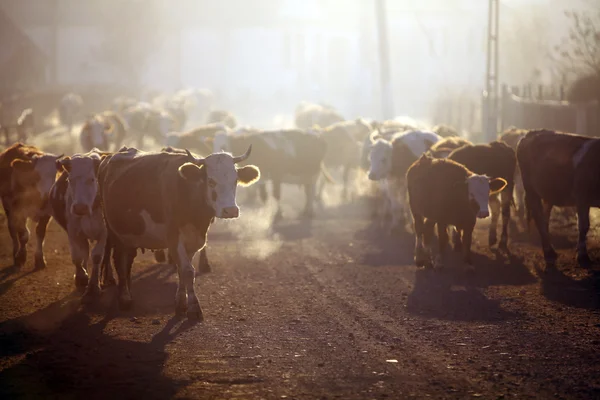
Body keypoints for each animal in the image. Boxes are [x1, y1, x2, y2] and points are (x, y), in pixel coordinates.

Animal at [49, 150, 115, 300]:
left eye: (92, 179)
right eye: (70, 180)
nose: (80, 208)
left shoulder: (104, 234)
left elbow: (97, 256)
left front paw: (93, 288)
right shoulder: (73, 232)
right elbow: (77, 257)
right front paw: (82, 277)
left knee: (106, 254)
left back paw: (109, 277)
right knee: (84, 251)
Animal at [98, 145, 260, 318]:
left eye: (235, 180)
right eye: (210, 181)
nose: (230, 210)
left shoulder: (194, 240)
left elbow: (182, 270)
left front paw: (181, 302)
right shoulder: (173, 238)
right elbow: (188, 271)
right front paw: (194, 307)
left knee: (127, 259)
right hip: (113, 230)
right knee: (119, 260)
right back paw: (124, 298)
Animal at [516, 130, 600, 268]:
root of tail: (530, 133)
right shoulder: (582, 198)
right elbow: (584, 226)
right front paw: (582, 256)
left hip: (547, 195)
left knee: (544, 219)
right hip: (531, 190)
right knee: (539, 218)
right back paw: (549, 252)